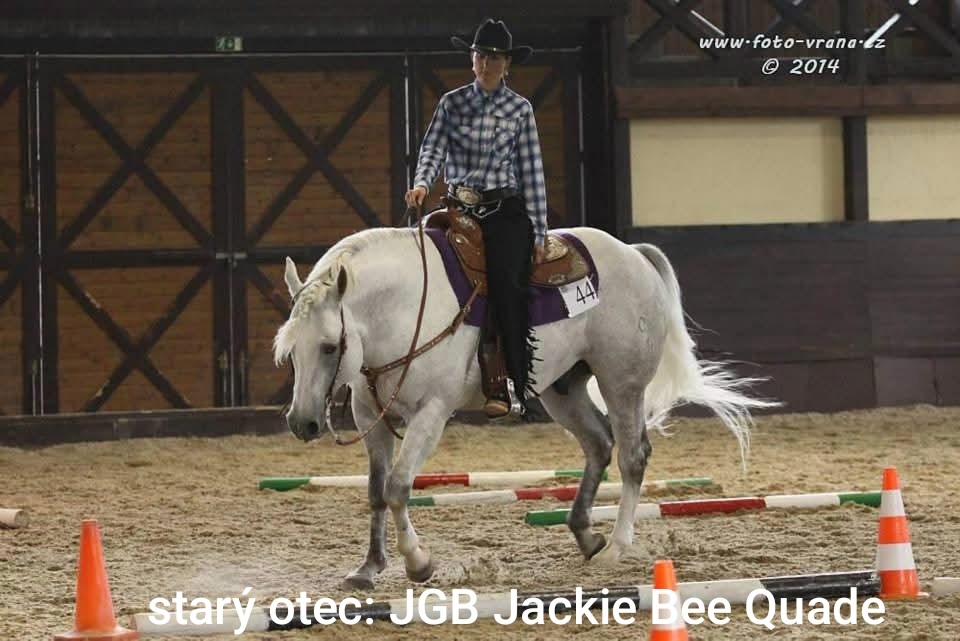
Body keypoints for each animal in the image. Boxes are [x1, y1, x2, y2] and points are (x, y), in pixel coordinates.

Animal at [273, 223, 777, 590]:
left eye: (329, 346)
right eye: (291, 349)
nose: (302, 422)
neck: (402, 310)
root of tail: (632, 253)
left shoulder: (431, 414)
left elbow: (398, 487)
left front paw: (418, 563)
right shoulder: (371, 418)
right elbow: (377, 493)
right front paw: (368, 569)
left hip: (622, 384)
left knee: (633, 456)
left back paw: (615, 546)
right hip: (561, 389)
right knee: (599, 445)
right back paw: (586, 534)